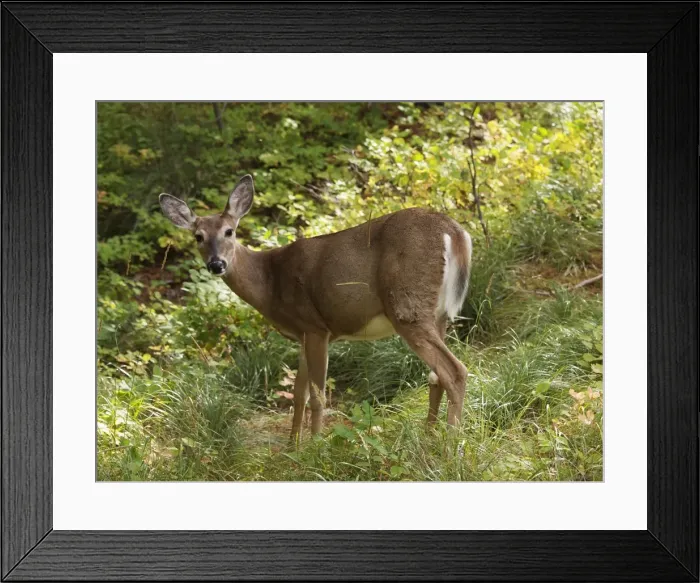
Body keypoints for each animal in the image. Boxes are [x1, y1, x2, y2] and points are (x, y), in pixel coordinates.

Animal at [160, 175, 473, 441]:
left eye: (229, 231)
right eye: (198, 236)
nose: (217, 264)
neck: (270, 282)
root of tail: (455, 233)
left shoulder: (316, 327)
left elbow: (318, 396)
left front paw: (315, 447)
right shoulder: (302, 334)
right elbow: (299, 393)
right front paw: (292, 447)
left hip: (407, 305)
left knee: (454, 370)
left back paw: (450, 445)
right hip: (437, 313)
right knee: (436, 376)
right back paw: (428, 437)